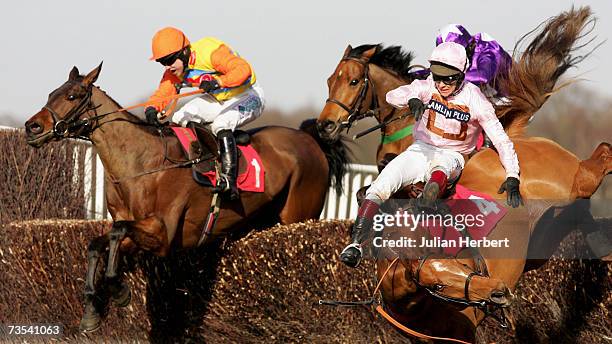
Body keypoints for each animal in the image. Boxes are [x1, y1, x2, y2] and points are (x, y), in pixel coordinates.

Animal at [23, 63, 350, 330]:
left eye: (72, 96)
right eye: (52, 93)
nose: (32, 127)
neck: (142, 163)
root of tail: (310, 139)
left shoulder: (164, 235)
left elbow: (117, 232)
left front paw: (118, 289)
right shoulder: (137, 232)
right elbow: (96, 244)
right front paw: (91, 311)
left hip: (298, 215)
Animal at [318, 6, 608, 342]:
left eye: (353, 81)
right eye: (330, 80)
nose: (326, 125)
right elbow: (371, 192)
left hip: (570, 180)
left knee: (602, 155)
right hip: (545, 238)